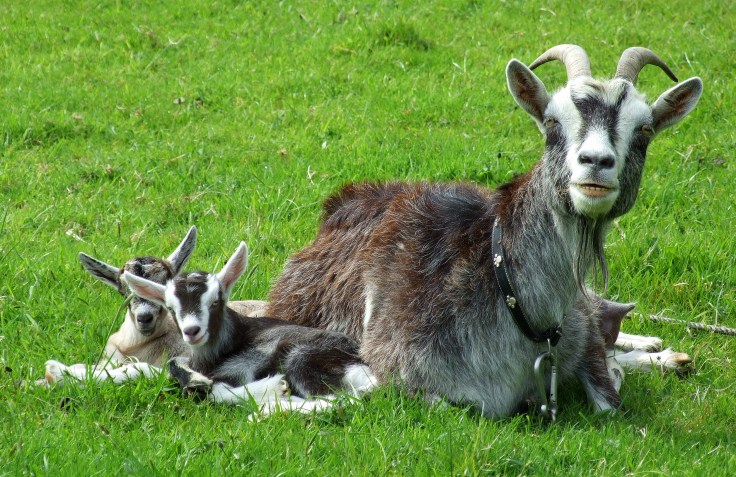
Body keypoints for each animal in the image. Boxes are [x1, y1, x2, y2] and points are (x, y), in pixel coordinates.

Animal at [124, 242, 376, 412]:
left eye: (215, 300)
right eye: (171, 307)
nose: (192, 331)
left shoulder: (248, 363)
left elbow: (214, 390)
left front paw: (275, 387)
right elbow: (172, 365)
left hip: (302, 358)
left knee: (347, 398)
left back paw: (266, 410)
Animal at [265, 45, 702, 418]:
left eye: (644, 130)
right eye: (552, 121)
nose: (595, 162)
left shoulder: (580, 338)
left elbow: (608, 395)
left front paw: (646, 358)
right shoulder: (398, 374)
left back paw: (658, 351)